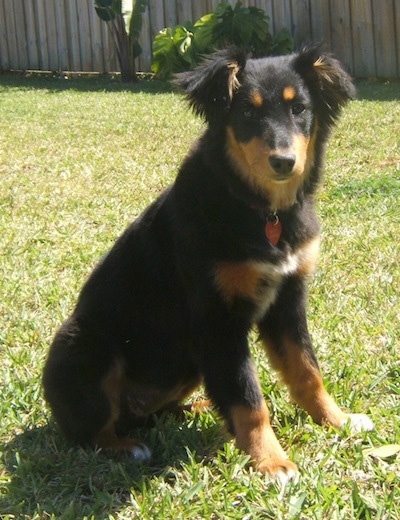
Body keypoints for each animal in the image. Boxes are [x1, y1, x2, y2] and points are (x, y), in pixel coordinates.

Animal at [42, 44, 374, 484]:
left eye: (300, 109)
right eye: (247, 112)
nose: (284, 161)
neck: (261, 210)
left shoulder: (287, 301)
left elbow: (306, 371)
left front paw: (338, 420)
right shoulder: (217, 317)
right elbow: (248, 397)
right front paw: (271, 461)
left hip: (187, 366)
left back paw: (197, 411)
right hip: (83, 344)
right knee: (88, 432)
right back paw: (127, 446)